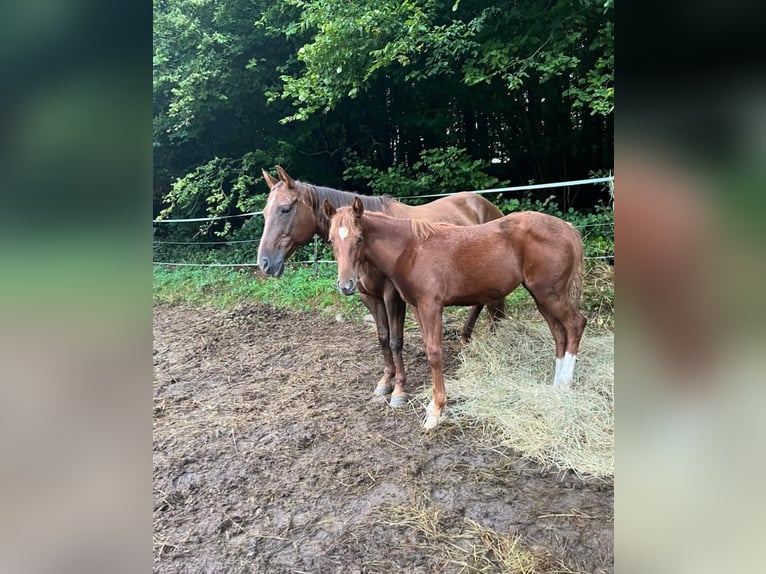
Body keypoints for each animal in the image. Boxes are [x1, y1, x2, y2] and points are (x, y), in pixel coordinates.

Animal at [257, 166, 505, 407]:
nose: (265, 262)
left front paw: (400, 390)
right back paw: (469, 338)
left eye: (285, 209)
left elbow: (396, 341)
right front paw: (386, 381)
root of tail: (486, 205)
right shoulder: (369, 296)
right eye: (264, 213)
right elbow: (383, 337)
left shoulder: (392, 295)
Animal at [323, 197, 586, 430]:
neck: (412, 249)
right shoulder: (417, 307)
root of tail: (568, 228)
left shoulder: (431, 306)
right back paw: (556, 386)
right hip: (543, 297)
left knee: (576, 324)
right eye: (331, 240)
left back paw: (566, 384)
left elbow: (434, 353)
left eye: (359, 239)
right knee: (559, 333)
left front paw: (436, 412)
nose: (345, 285)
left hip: (550, 295)